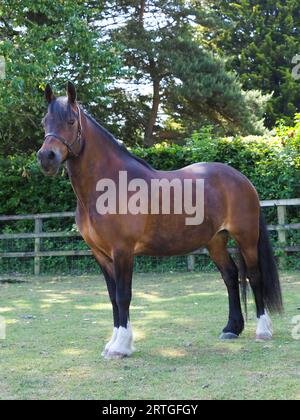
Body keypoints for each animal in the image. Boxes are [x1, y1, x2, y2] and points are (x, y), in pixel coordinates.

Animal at [36, 83, 282, 360]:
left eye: (70, 121)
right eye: (45, 121)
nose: (46, 157)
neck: (109, 185)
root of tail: (242, 179)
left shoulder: (123, 251)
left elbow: (123, 295)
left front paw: (121, 346)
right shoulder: (100, 254)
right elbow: (112, 297)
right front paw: (113, 344)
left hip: (246, 238)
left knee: (254, 276)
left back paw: (263, 330)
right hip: (215, 241)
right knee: (231, 276)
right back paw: (231, 328)